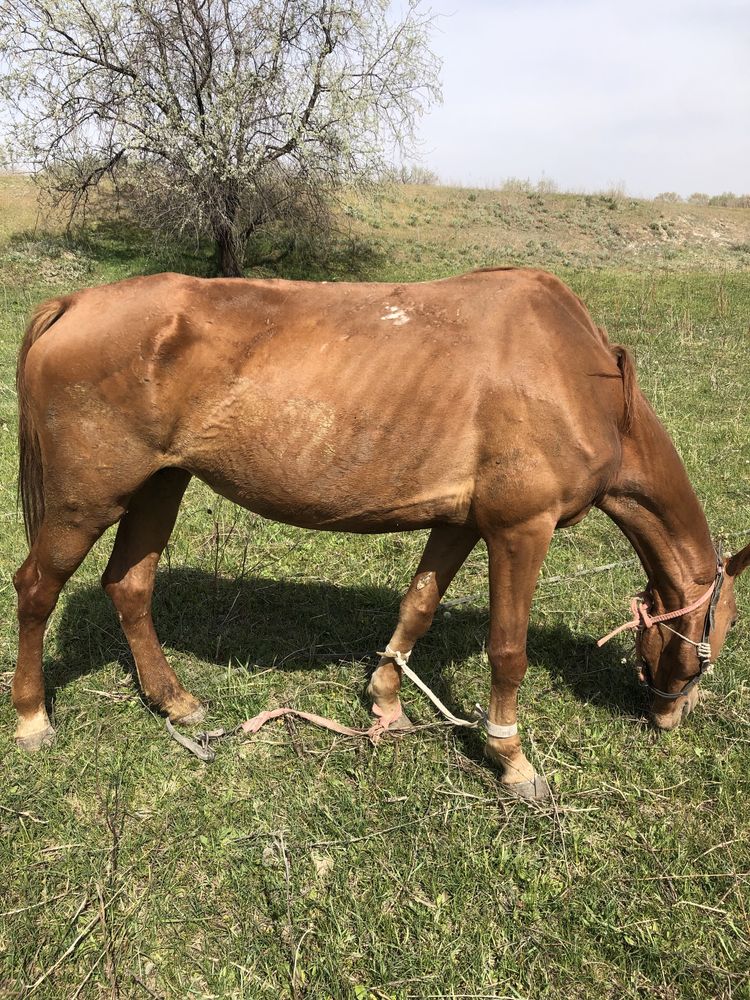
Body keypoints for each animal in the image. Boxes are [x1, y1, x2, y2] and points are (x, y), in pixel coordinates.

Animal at [11, 266, 750, 796]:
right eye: (723, 627)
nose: (670, 715)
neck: (576, 378)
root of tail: (73, 304)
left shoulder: (457, 523)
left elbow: (416, 607)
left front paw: (386, 705)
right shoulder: (520, 530)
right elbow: (507, 651)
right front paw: (511, 758)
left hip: (160, 486)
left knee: (128, 586)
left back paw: (175, 703)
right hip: (86, 502)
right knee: (36, 589)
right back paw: (32, 718)